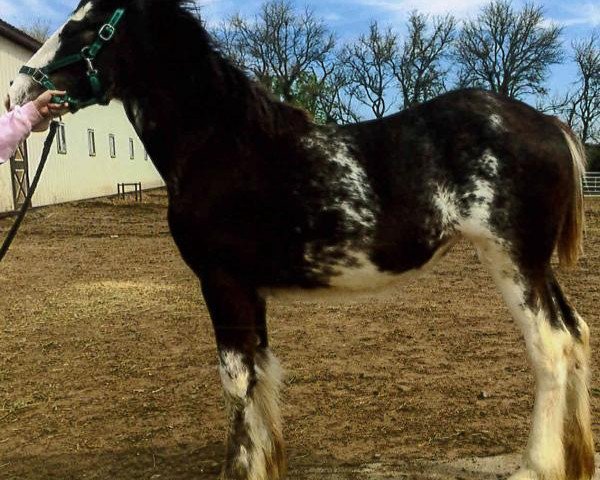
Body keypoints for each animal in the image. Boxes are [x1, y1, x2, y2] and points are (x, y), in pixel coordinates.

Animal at [7, 0, 592, 480]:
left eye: (84, 25)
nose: (19, 90)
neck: (222, 145)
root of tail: (545, 122)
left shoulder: (223, 284)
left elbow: (237, 381)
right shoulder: (250, 291)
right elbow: (262, 375)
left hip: (513, 259)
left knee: (550, 345)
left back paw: (537, 466)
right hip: (536, 266)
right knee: (575, 333)